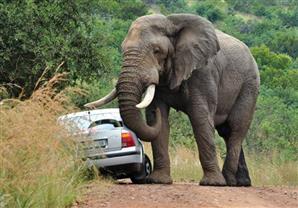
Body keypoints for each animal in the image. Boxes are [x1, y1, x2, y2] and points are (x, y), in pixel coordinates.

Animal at [85, 14, 260, 187]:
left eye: (157, 51)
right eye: (122, 50)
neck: (171, 22)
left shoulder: (203, 73)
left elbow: (200, 118)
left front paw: (213, 183)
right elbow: (158, 120)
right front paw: (158, 181)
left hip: (249, 86)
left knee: (236, 128)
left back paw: (228, 181)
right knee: (226, 132)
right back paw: (241, 183)